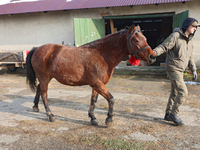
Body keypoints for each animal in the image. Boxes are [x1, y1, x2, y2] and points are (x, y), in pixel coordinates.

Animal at [25, 24, 155, 126]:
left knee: (39, 89)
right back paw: (50, 115)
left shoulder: (97, 84)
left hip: (47, 77)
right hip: (44, 77)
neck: (101, 55)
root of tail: (37, 48)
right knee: (44, 95)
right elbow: (111, 99)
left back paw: (36, 107)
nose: (152, 56)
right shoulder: (96, 83)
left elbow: (94, 100)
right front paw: (109, 119)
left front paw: (93, 118)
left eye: (145, 38)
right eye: (136, 40)